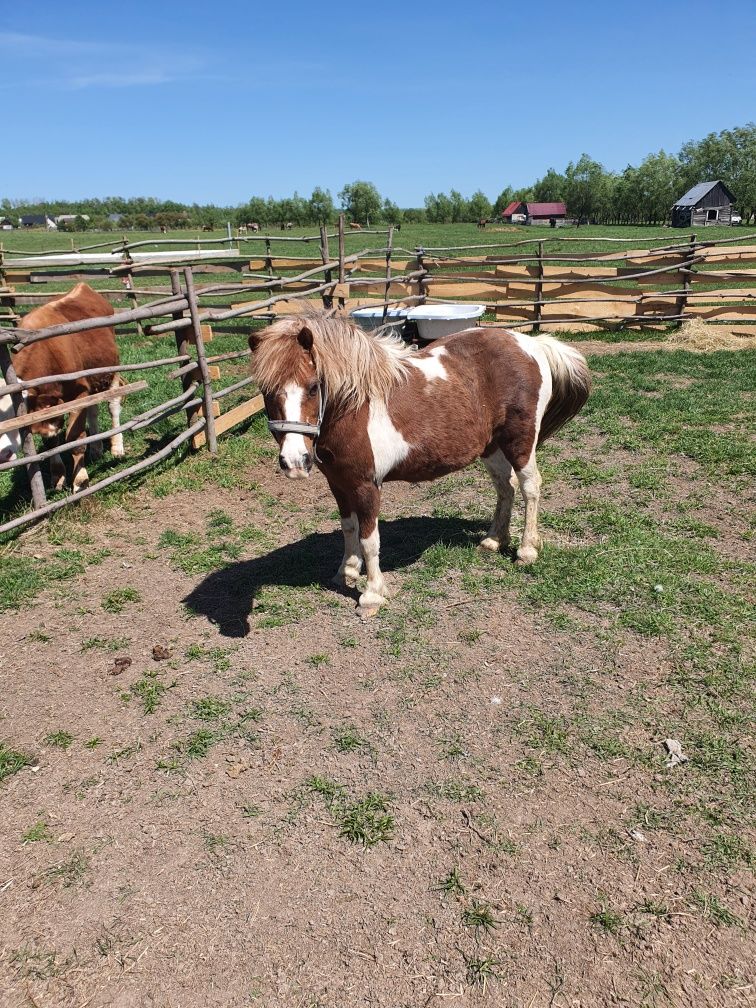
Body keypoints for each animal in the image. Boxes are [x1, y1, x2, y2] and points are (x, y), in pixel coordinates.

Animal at [14, 284, 124, 491]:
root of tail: (83, 286)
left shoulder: (78, 394)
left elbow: (75, 440)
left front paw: (80, 481)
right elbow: (52, 444)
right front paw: (58, 476)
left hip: (111, 371)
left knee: (113, 406)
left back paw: (117, 447)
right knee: (93, 411)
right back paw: (96, 449)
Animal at [248, 310, 592, 616]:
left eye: (313, 386)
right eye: (266, 390)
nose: (294, 461)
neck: (355, 407)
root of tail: (532, 344)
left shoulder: (366, 485)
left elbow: (369, 539)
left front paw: (372, 594)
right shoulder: (338, 483)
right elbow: (348, 527)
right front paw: (347, 570)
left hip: (520, 442)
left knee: (530, 487)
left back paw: (526, 550)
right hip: (491, 447)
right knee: (504, 488)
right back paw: (494, 540)